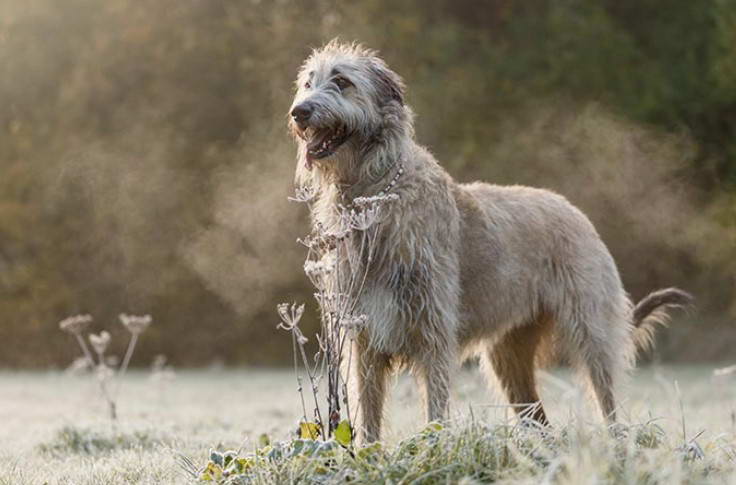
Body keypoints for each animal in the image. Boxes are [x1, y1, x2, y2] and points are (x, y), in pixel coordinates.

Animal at [286, 40, 688, 442]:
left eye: (342, 81)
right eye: (308, 83)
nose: (299, 112)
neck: (373, 195)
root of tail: (577, 213)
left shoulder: (433, 331)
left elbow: (435, 406)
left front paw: (433, 444)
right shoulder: (364, 338)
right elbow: (368, 411)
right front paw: (369, 451)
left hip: (591, 330)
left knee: (607, 397)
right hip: (508, 355)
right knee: (537, 416)